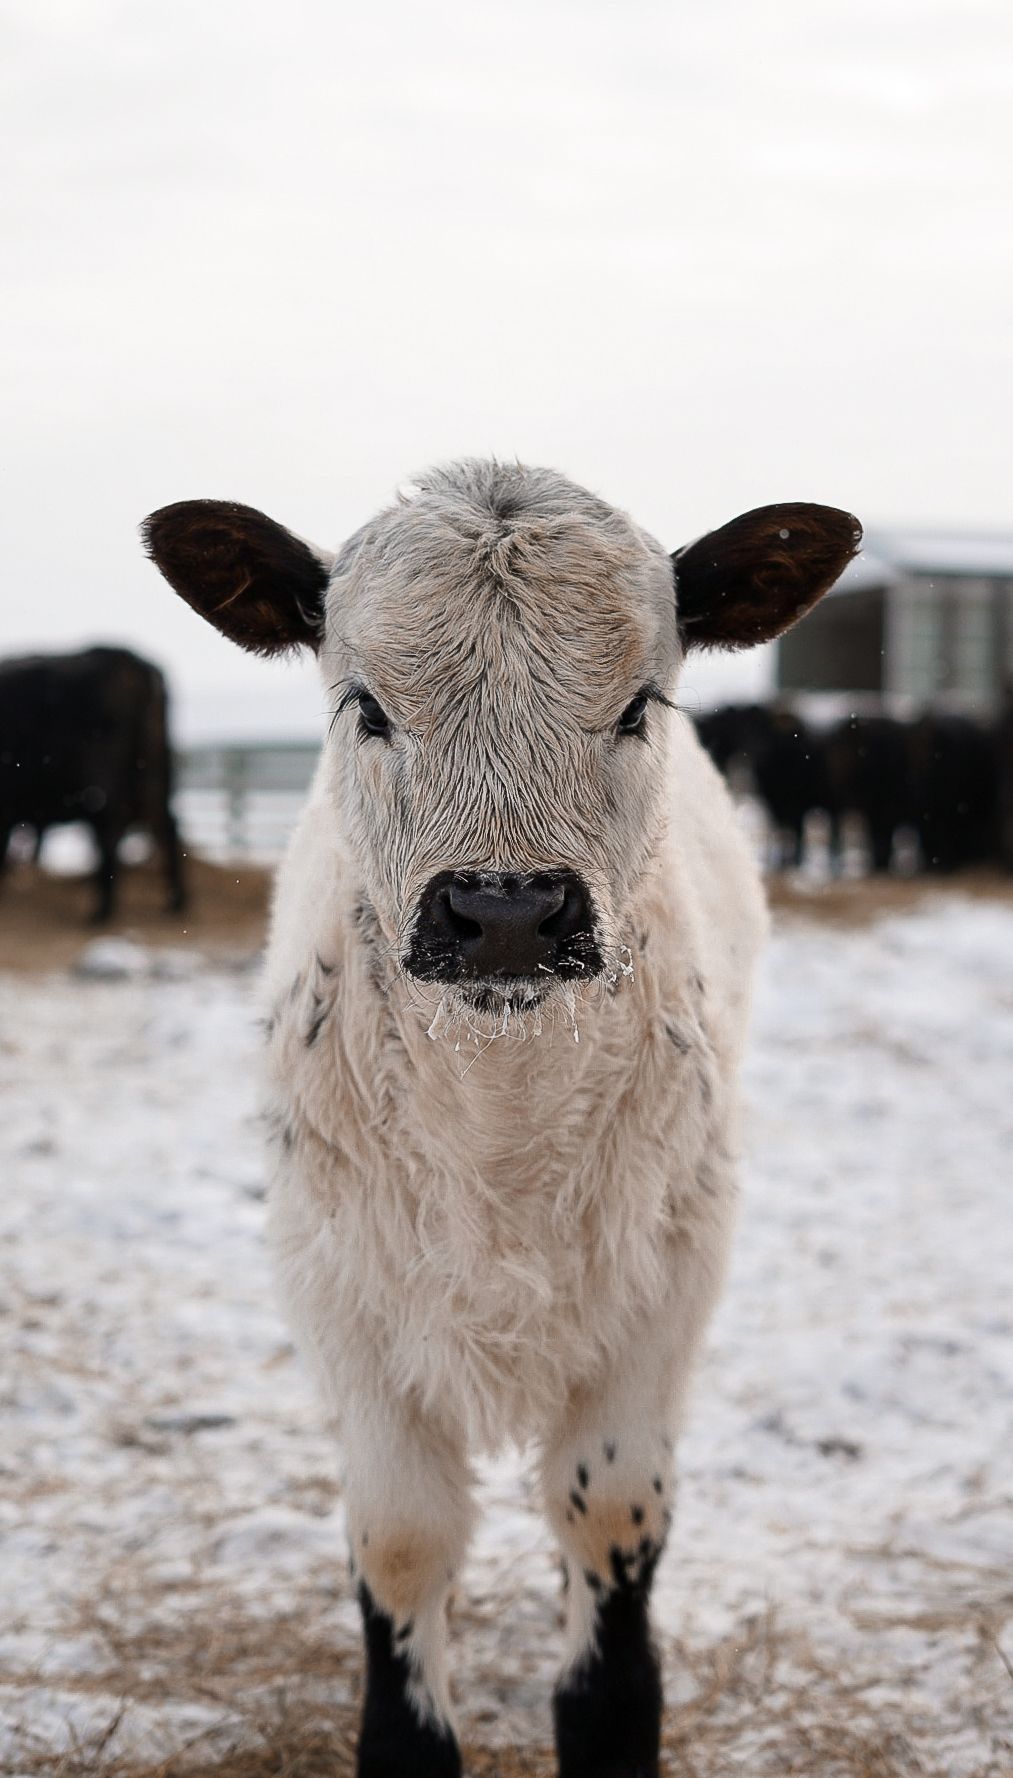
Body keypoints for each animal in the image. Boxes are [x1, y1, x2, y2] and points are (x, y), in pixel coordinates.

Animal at [0, 645, 186, 922]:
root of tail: (130, 662)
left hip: (102, 782)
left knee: (112, 831)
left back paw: (100, 913)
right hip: (152, 774)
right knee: (164, 825)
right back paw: (176, 904)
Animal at [143, 462, 860, 1778]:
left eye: (637, 705)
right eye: (365, 705)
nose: (508, 909)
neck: (500, 1131)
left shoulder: (669, 1275)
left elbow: (609, 1512)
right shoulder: (337, 1285)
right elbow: (401, 1534)